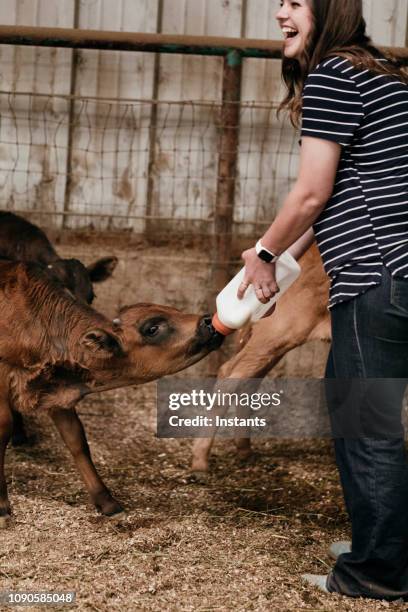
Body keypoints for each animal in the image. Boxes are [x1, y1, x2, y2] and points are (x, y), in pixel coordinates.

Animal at [0, 260, 223, 524]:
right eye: (152, 328)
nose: (208, 320)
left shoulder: (58, 386)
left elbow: (76, 438)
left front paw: (106, 501)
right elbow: (3, 428)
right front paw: (2, 504)